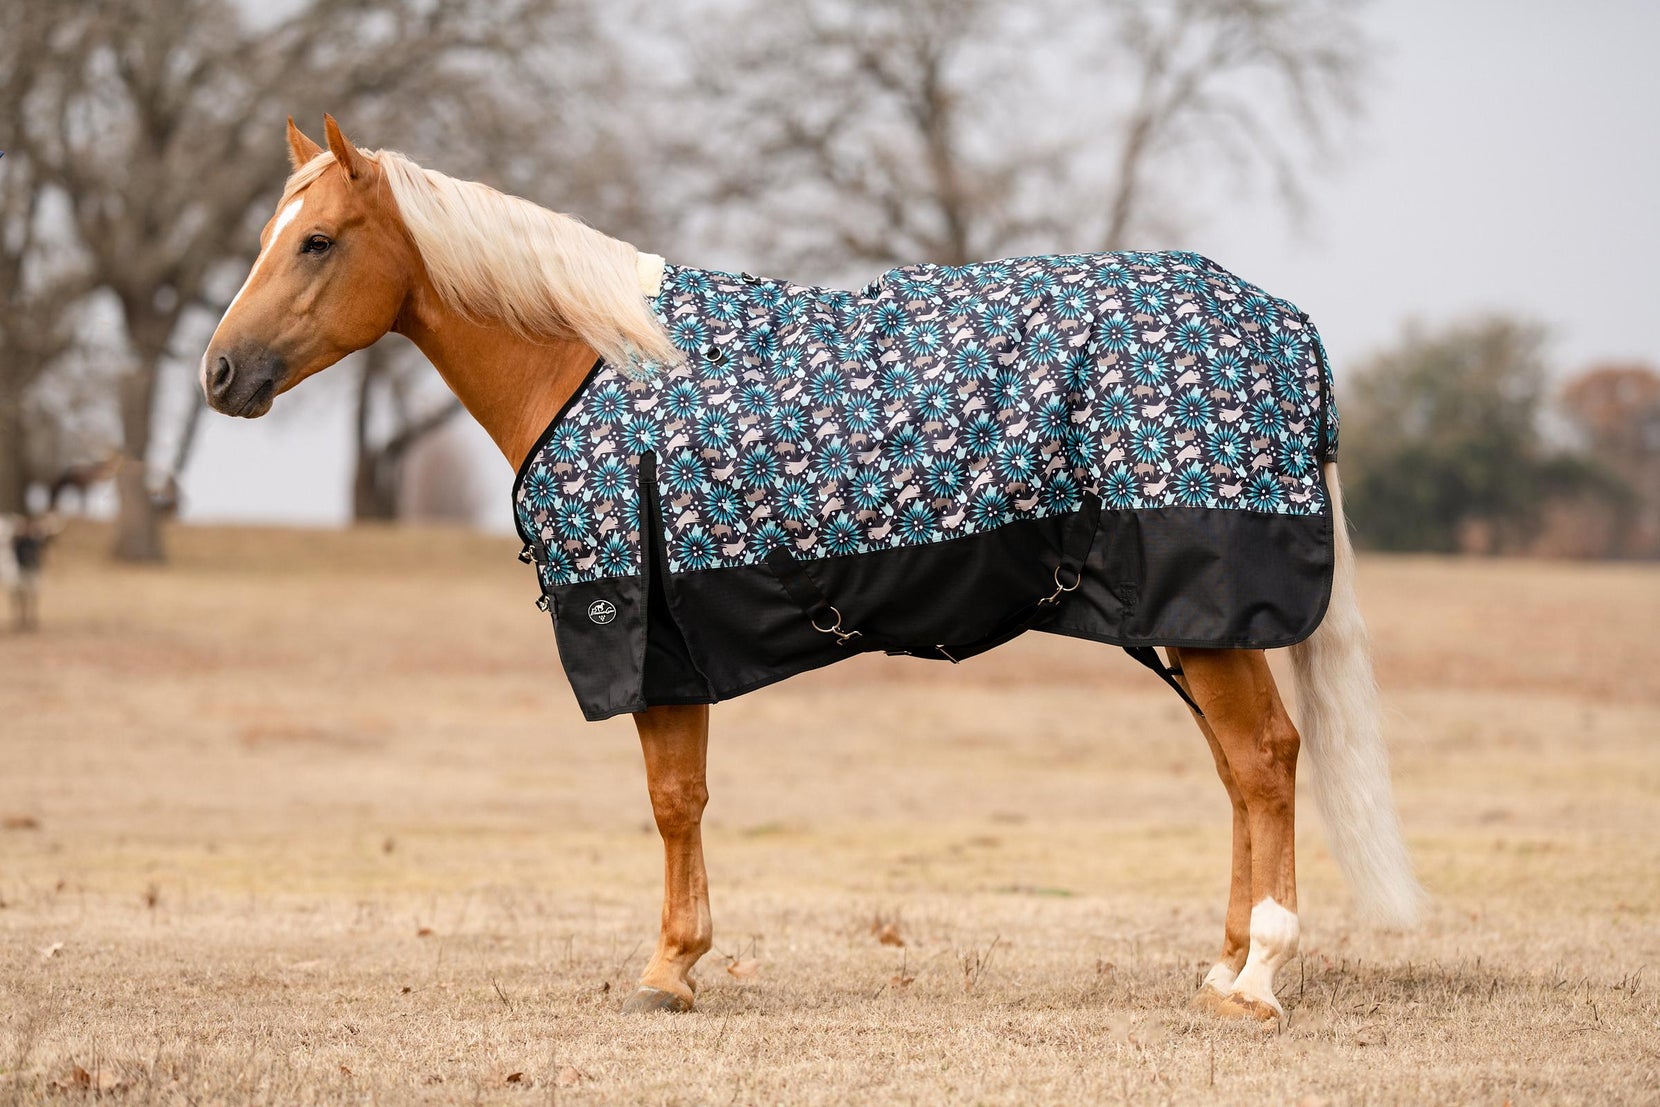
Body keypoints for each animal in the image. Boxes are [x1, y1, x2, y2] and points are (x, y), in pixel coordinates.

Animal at [199, 116, 1422, 1022]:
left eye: (317, 241)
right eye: (270, 233)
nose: (219, 373)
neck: (597, 365)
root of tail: (1282, 324)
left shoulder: (642, 629)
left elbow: (671, 800)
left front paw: (669, 969)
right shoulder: (679, 638)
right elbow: (685, 797)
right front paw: (681, 959)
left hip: (1204, 605)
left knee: (1265, 759)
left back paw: (1259, 974)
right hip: (1186, 622)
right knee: (1239, 769)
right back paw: (1224, 963)